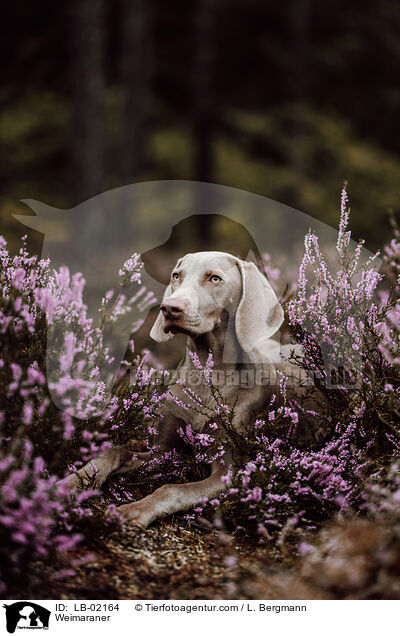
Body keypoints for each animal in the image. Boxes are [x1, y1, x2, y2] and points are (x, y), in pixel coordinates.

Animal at [57, 253, 298, 528]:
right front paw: (71, 482)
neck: (206, 375)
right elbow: (115, 451)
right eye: (176, 276)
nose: (169, 308)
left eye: (214, 278)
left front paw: (133, 510)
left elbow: (172, 488)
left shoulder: (230, 471)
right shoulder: (166, 451)